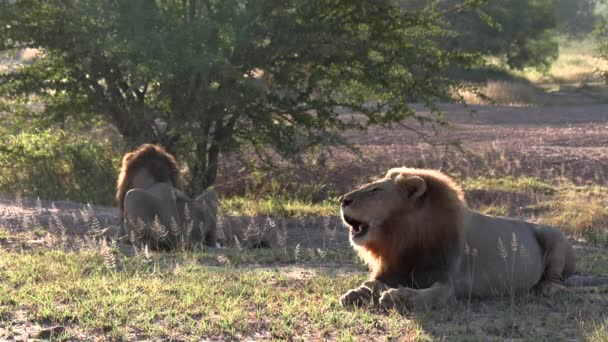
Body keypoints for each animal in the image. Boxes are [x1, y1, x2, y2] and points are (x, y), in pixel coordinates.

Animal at [340, 167, 604, 312]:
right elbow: (372, 283)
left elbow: (429, 295)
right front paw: (355, 293)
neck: (402, 237)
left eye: (375, 191)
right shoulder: (393, 268)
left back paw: (545, 287)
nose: (343, 200)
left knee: (557, 280)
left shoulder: (448, 284)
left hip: (555, 237)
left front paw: (396, 297)